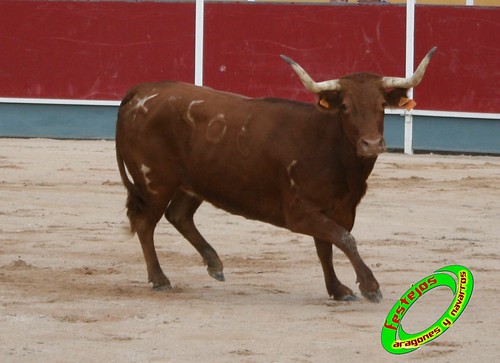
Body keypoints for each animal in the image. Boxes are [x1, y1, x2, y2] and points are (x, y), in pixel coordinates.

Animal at [115, 48, 436, 302]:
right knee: (145, 223)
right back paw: (160, 279)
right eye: (345, 106)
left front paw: (337, 290)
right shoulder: (301, 213)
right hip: (155, 183)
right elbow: (344, 240)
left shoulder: (337, 209)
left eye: (382, 105)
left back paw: (214, 264)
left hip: (194, 183)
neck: (328, 145)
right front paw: (370, 287)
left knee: (179, 215)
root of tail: (143, 90)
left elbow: (327, 246)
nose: (371, 144)